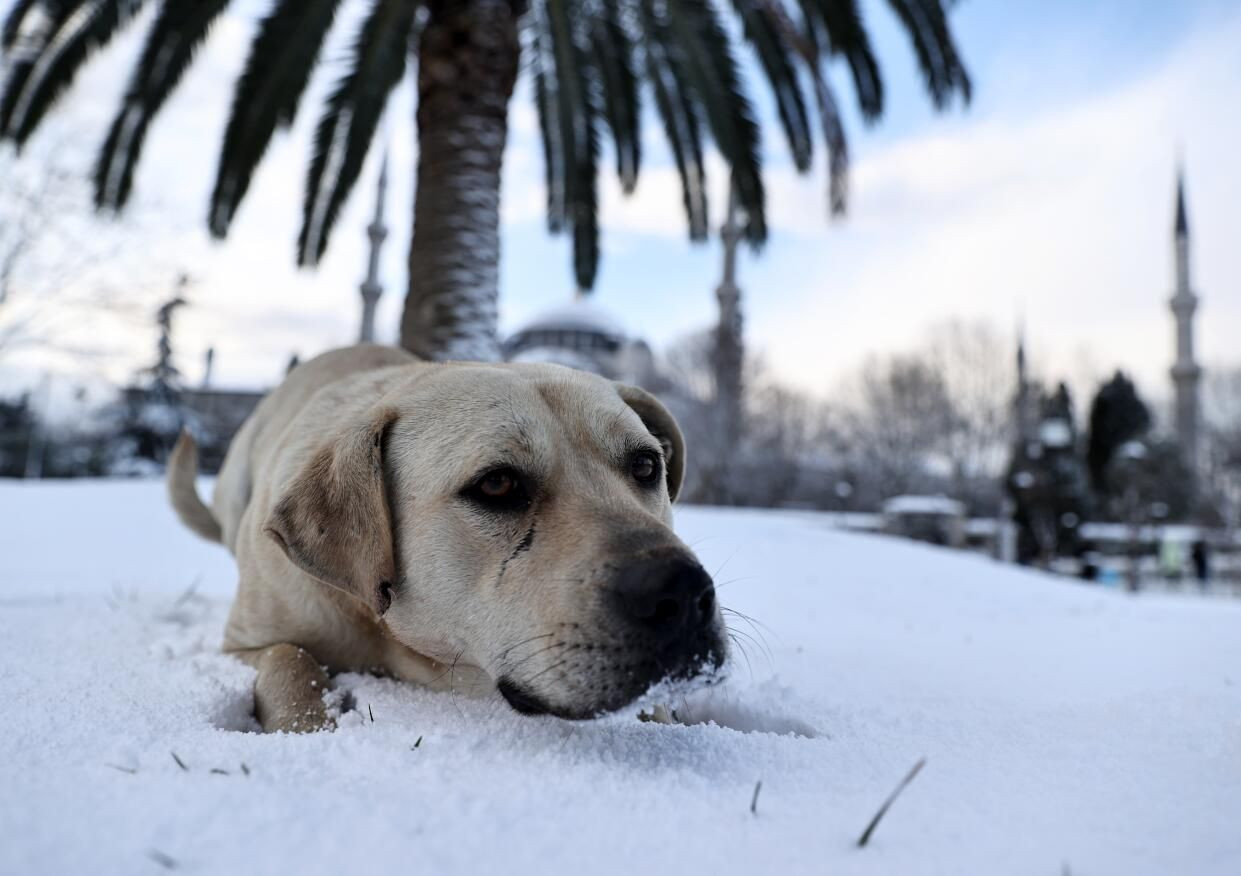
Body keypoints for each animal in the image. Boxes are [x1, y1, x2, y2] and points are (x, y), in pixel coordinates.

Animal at [170, 342, 724, 729]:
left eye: (646, 465)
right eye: (497, 484)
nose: (681, 591)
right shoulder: (245, 642)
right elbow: (290, 659)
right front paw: (306, 726)